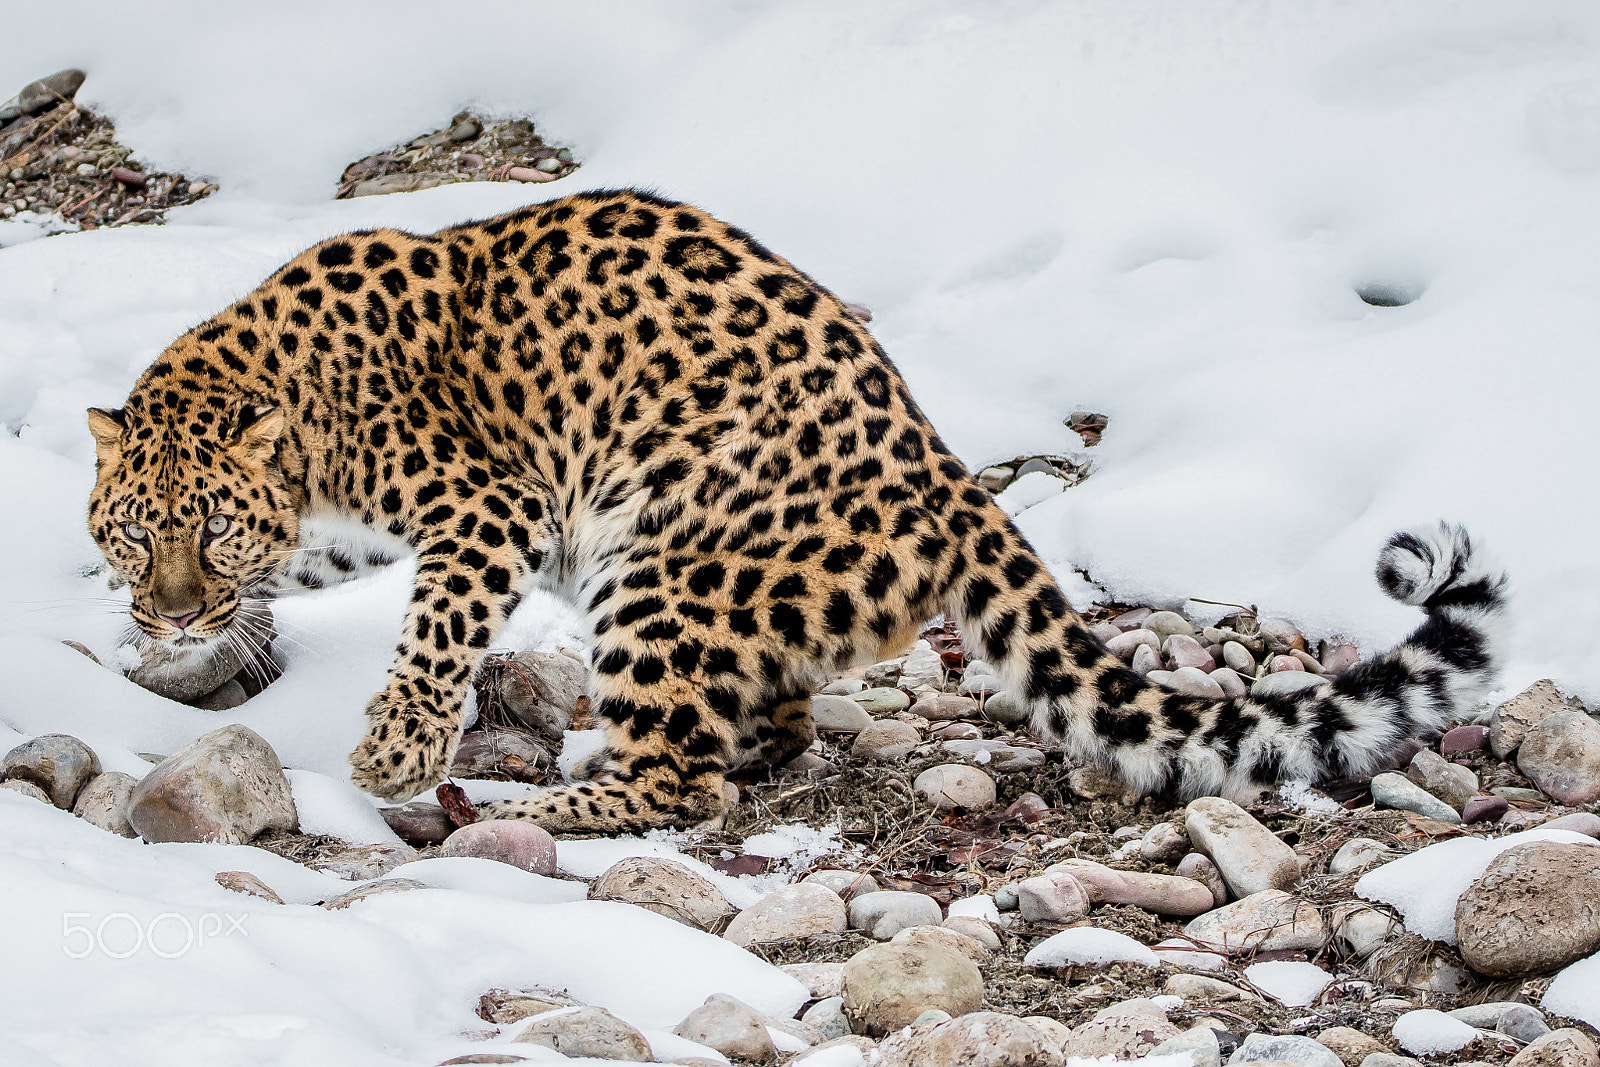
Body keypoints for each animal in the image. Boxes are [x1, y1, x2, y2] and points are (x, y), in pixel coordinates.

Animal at [85, 188, 1509, 833]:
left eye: (209, 525)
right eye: (136, 531)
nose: (172, 603)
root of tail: (945, 470)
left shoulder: (485, 505)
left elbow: (432, 625)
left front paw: (389, 747)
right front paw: (168, 656)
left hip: (652, 563)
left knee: (684, 783)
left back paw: (533, 806)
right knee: (752, 733)